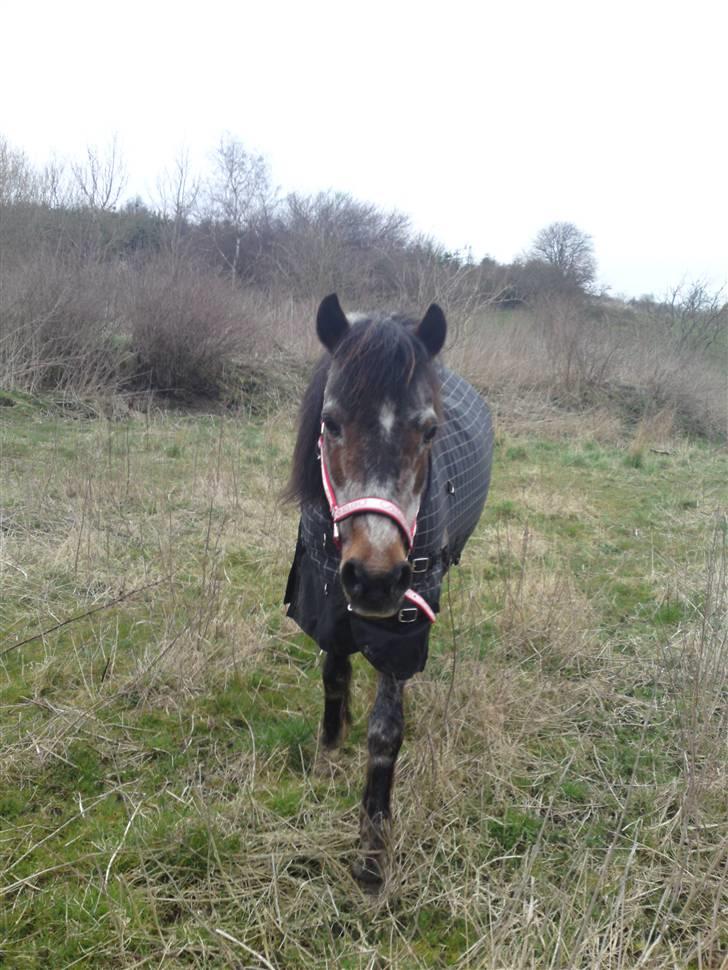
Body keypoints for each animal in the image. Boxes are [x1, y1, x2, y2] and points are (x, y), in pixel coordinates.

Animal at [282, 294, 492, 884]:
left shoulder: (401, 628)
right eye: (330, 423)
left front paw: (372, 854)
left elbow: (385, 731)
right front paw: (329, 751)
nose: (376, 578)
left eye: (429, 431)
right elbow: (334, 675)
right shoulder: (328, 600)